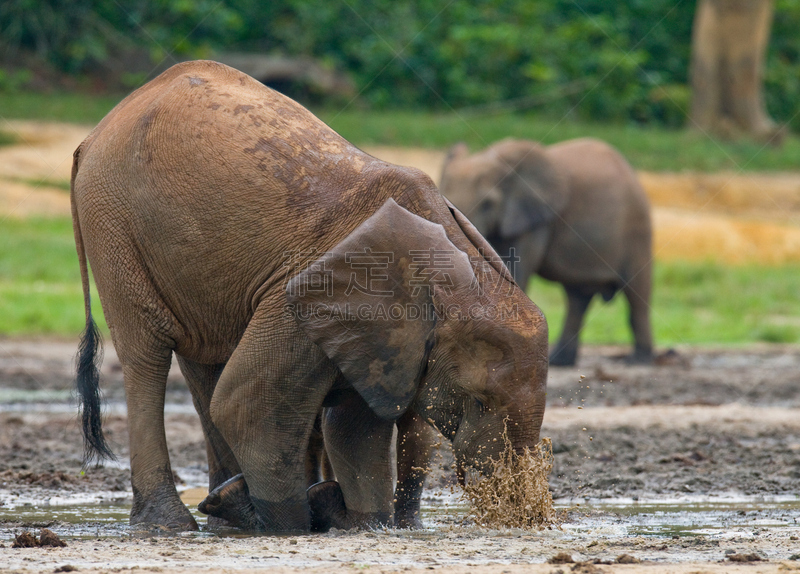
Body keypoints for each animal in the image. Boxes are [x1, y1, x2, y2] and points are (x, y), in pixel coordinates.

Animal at [72, 62, 552, 536]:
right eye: (478, 400)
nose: (519, 514)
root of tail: (95, 135)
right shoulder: (300, 300)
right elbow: (250, 405)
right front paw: (292, 524)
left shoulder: (376, 336)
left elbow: (354, 427)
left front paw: (361, 523)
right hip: (113, 223)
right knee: (149, 355)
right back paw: (176, 523)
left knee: (203, 363)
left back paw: (226, 511)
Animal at [440, 137, 652, 366]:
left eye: (488, 204)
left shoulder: (534, 219)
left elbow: (515, 267)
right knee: (578, 299)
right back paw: (560, 361)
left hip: (636, 232)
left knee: (636, 295)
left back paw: (638, 360)